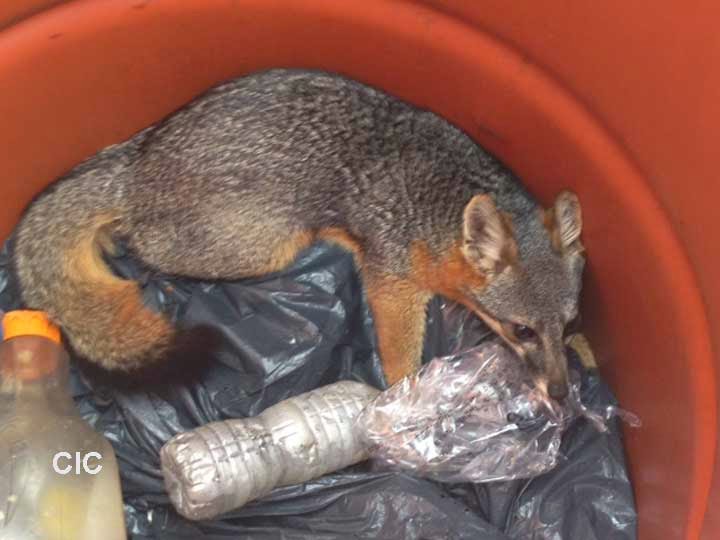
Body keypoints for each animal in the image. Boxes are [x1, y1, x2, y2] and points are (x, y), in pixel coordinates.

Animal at [13, 69, 584, 399]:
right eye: (521, 331)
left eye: (568, 325)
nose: (560, 392)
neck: (438, 204)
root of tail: (137, 165)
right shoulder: (392, 283)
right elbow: (401, 356)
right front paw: (406, 399)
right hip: (263, 246)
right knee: (144, 246)